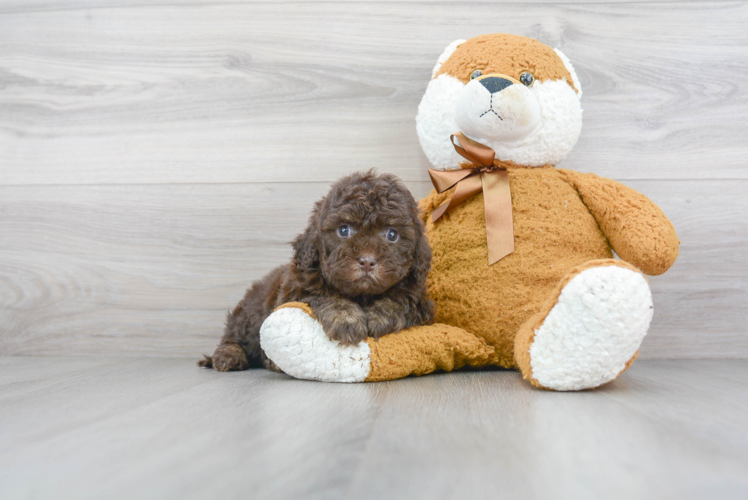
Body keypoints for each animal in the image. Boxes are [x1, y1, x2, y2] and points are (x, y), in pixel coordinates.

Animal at [199, 172, 436, 372]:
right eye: (344, 230)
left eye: (392, 234)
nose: (367, 261)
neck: (361, 295)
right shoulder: (298, 289)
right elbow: (324, 295)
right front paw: (346, 320)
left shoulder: (419, 301)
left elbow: (399, 300)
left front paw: (379, 316)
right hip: (249, 315)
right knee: (234, 338)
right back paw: (230, 356)